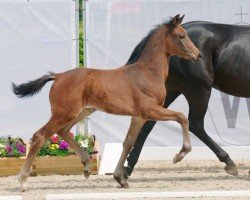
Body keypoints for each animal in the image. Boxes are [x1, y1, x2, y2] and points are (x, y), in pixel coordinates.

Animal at [11, 14, 200, 191]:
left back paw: (87, 166)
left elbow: (128, 143)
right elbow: (182, 117)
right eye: (181, 36)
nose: (198, 55)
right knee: (40, 136)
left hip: (82, 111)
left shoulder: (138, 116)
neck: (148, 72)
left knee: (63, 131)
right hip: (64, 113)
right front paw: (179, 155)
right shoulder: (150, 110)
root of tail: (58, 76)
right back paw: (23, 181)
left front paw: (120, 179)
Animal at [123, 20, 250, 178]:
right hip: (198, 89)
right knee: (196, 124)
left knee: (148, 123)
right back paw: (228, 162)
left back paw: (128, 167)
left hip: (170, 90)